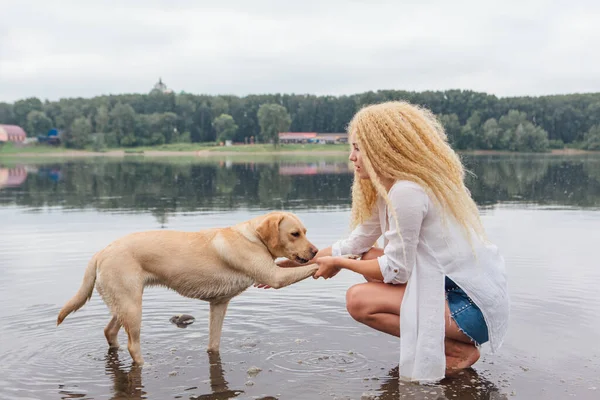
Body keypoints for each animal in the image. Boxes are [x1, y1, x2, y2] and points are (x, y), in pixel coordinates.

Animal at [56, 212, 324, 366]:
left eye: (305, 232)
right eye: (294, 234)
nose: (315, 251)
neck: (253, 238)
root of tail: (101, 252)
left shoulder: (219, 304)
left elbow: (214, 344)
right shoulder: (275, 276)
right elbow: (308, 268)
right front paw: (330, 261)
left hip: (123, 303)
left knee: (109, 331)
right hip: (132, 306)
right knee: (133, 344)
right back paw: (145, 364)